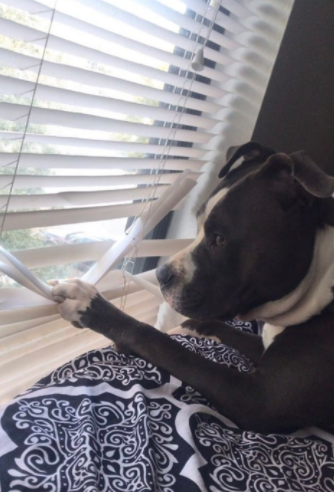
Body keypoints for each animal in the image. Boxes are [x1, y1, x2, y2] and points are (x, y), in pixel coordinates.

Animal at [50, 143, 334, 434]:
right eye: (197, 225)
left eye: (220, 239)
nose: (161, 275)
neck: (318, 283)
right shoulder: (262, 346)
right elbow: (226, 329)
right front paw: (194, 327)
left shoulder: (257, 398)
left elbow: (158, 340)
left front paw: (90, 306)